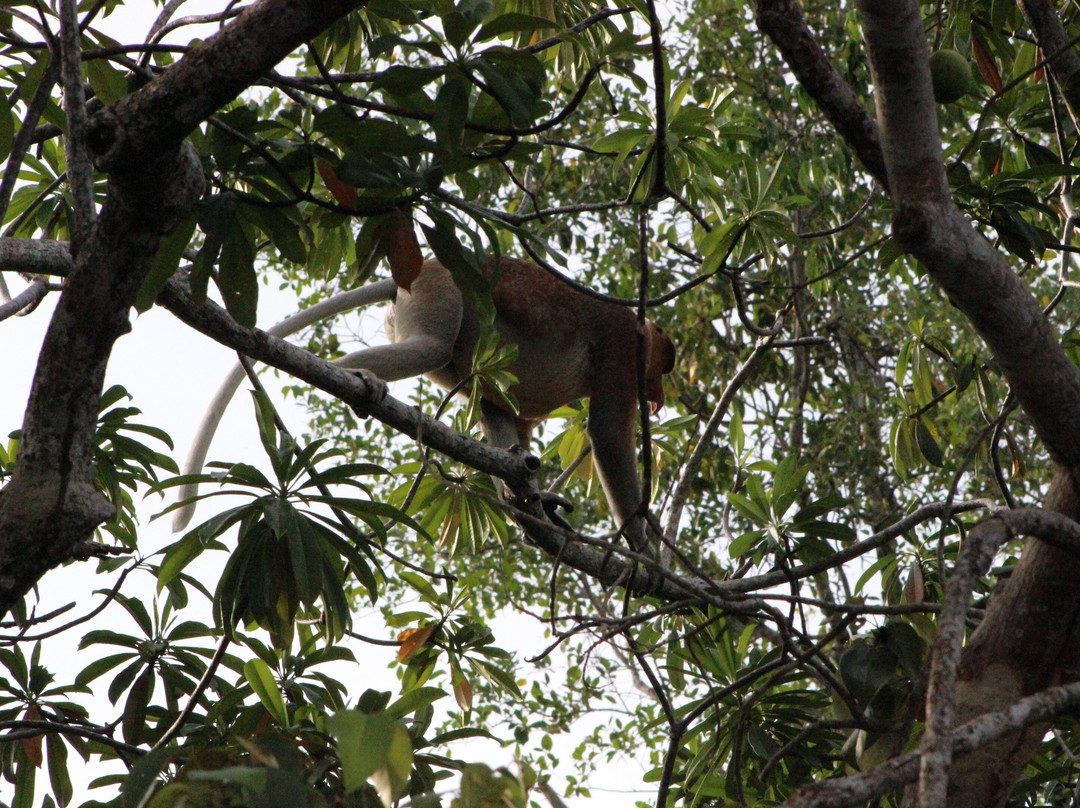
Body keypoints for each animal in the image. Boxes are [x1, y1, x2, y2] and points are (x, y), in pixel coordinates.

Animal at [173, 256, 676, 555]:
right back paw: (353, 376)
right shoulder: (620, 345)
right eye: (665, 363)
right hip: (440, 293)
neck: (638, 330)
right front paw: (645, 553)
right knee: (430, 348)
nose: (658, 395)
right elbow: (607, 432)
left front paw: (533, 499)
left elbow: (503, 412)